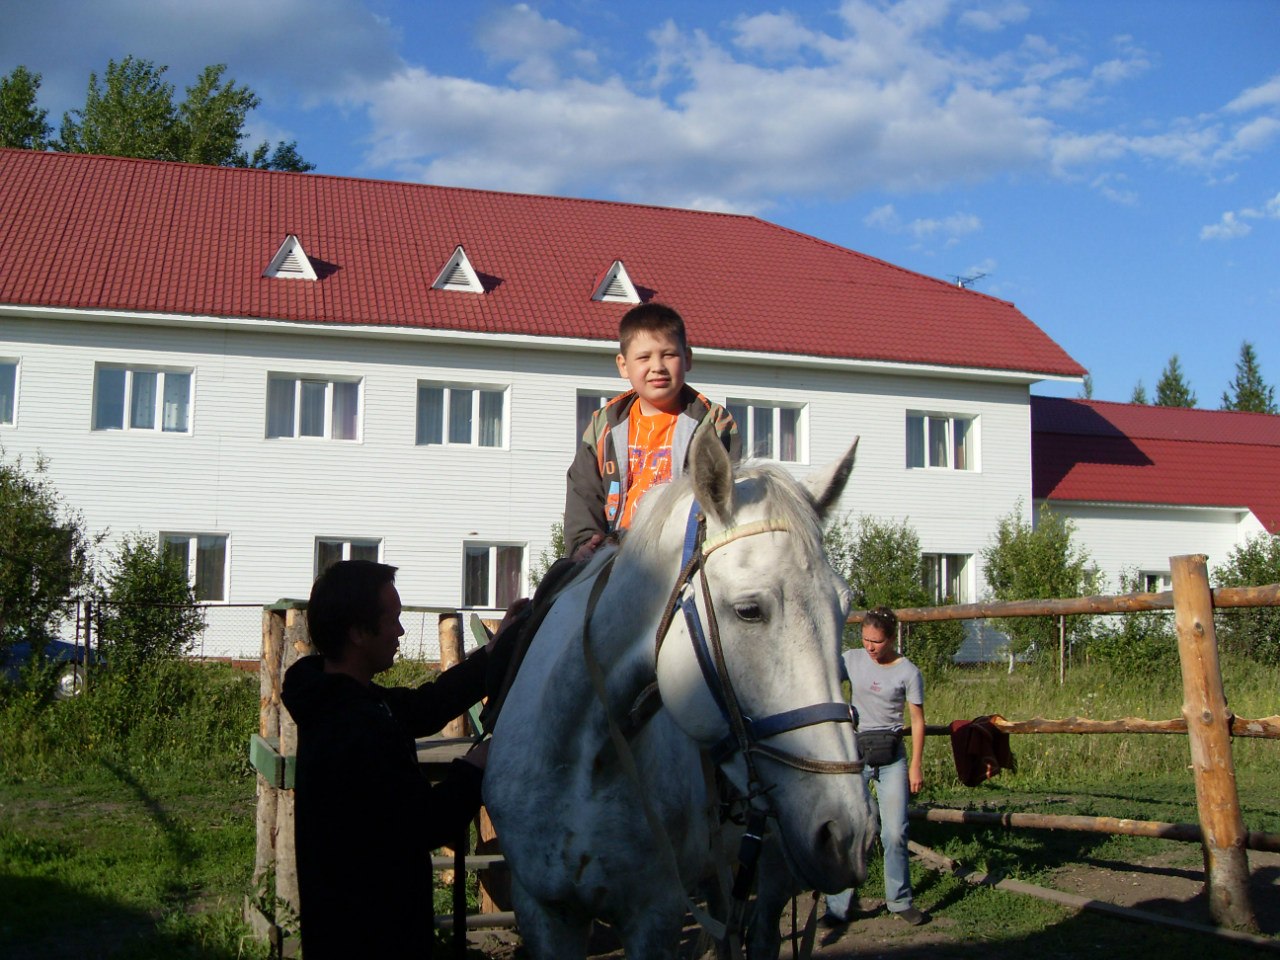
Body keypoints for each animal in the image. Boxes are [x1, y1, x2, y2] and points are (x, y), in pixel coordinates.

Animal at [484, 429, 873, 959]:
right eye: (749, 610)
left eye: (845, 606)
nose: (847, 833)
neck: (588, 758)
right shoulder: (543, 909)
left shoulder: (656, 915)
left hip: (775, 861)